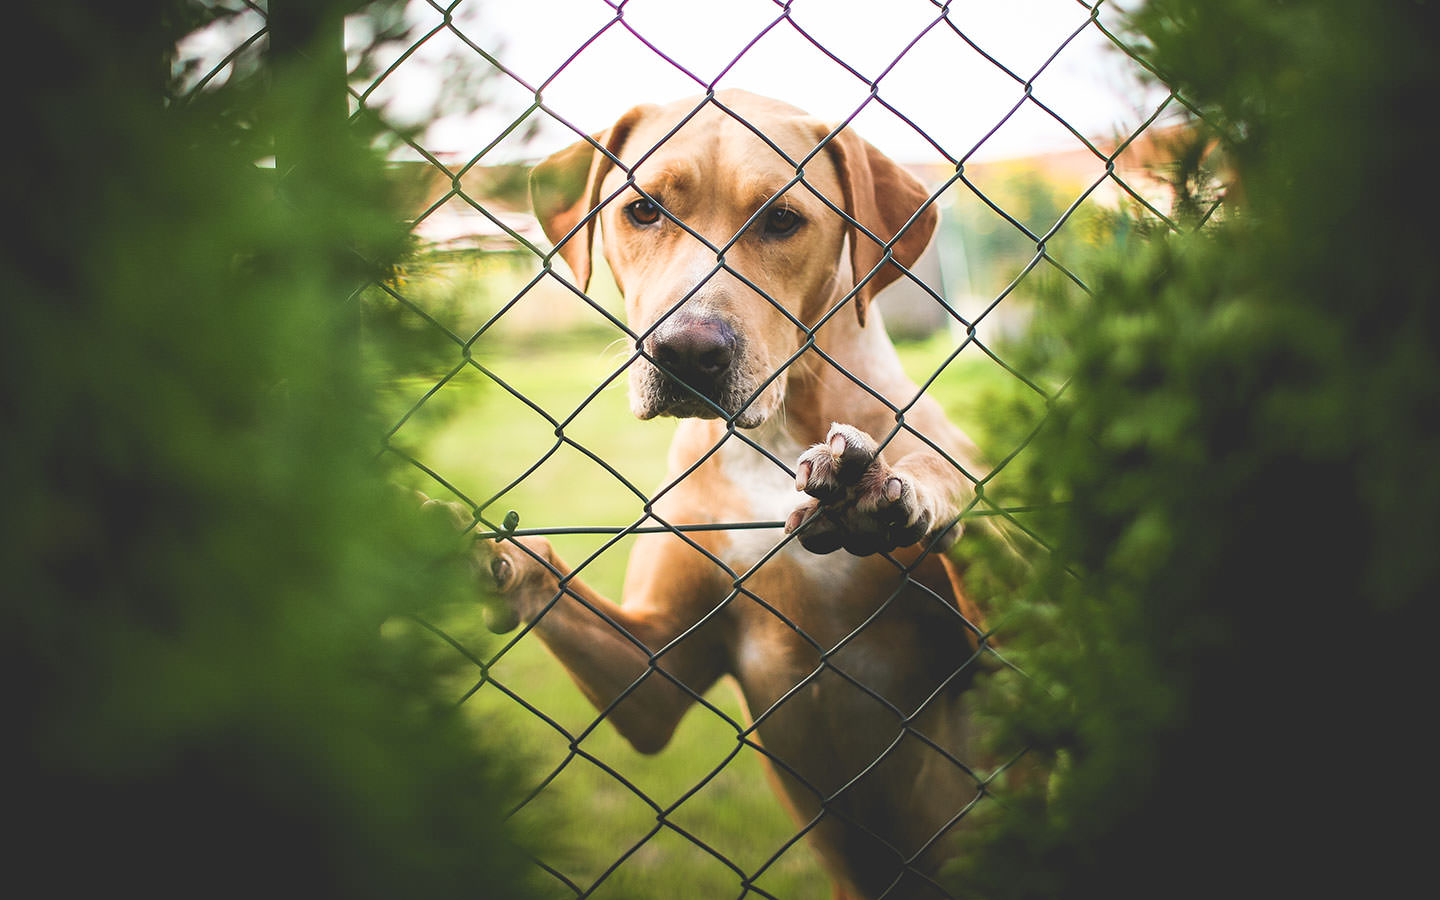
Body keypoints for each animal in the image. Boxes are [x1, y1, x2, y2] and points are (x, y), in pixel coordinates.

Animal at [463, 91, 1002, 898]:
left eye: (782, 219)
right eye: (643, 209)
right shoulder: (654, 675)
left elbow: (962, 492)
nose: (687, 352)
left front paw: (904, 485)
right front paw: (483, 554)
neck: (772, 437)